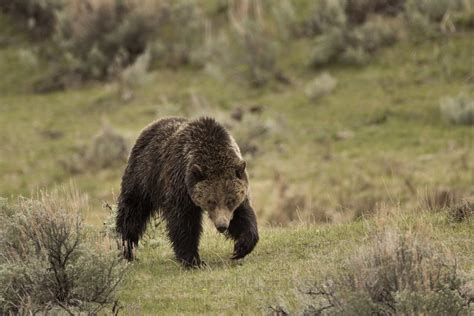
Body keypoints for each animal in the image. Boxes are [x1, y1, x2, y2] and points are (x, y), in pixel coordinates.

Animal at [117, 116, 260, 266]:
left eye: (230, 200)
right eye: (211, 201)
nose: (222, 226)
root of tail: (153, 124)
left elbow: (243, 215)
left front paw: (241, 247)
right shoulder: (180, 184)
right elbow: (183, 223)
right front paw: (193, 261)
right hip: (143, 175)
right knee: (132, 211)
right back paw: (127, 249)